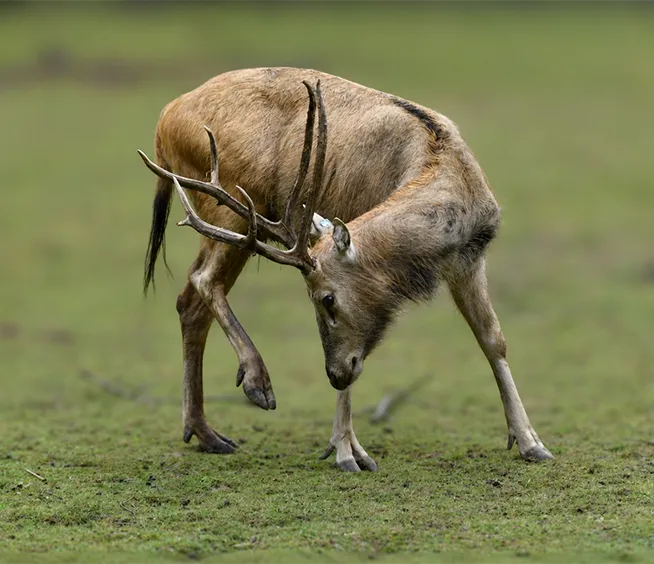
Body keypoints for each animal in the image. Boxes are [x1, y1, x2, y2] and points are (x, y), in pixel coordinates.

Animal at [137, 67, 554, 472]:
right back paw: (258, 385)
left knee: (189, 301)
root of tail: (164, 119)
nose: (332, 374)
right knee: (203, 279)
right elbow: (360, 364)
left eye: (327, 299)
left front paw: (532, 444)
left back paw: (206, 433)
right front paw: (346, 452)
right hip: (231, 208)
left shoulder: (468, 259)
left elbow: (492, 339)